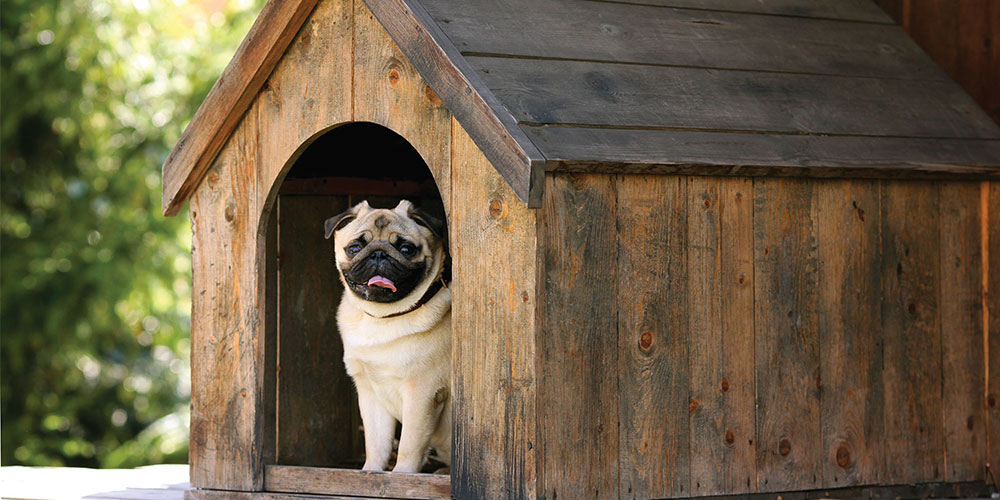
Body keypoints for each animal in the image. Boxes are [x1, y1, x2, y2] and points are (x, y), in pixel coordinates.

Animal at [324, 199, 454, 472]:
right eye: (354, 248)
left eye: (406, 249)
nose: (378, 254)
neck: (382, 318)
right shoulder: (371, 394)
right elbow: (376, 443)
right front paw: (372, 472)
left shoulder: (422, 393)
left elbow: (409, 445)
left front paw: (402, 475)